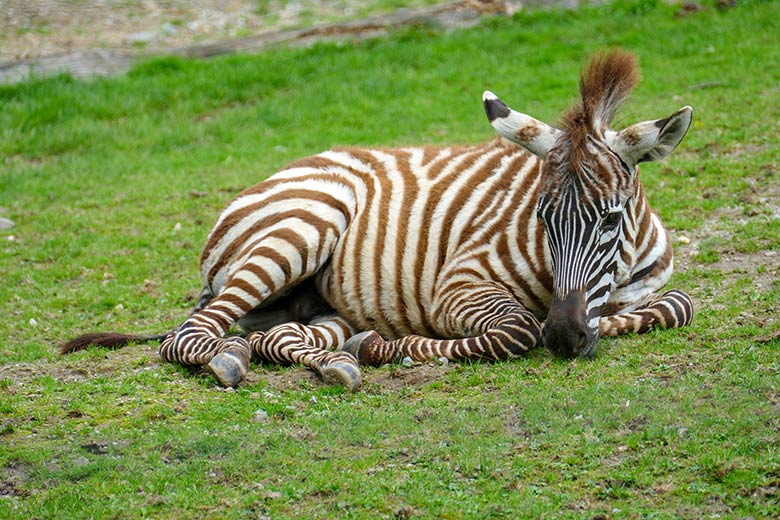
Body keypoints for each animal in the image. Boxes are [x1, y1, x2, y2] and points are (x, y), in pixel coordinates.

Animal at [61, 50, 696, 390]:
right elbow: (516, 330)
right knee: (189, 336)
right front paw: (404, 347)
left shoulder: (644, 289)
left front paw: (604, 322)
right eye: (541, 217)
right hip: (304, 224)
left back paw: (326, 355)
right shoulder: (457, 286)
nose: (565, 336)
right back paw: (261, 357)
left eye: (609, 220)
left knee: (275, 336)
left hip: (315, 304)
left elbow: (675, 306)